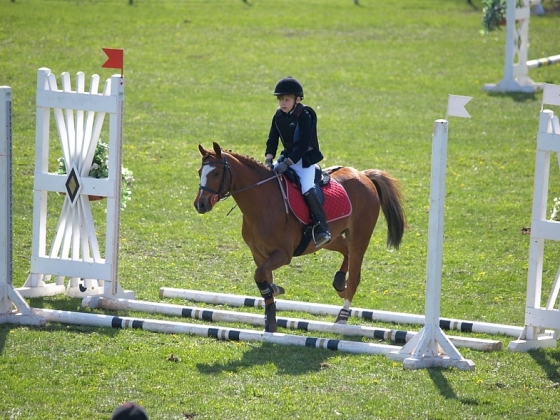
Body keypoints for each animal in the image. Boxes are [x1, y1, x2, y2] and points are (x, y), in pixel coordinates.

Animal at [195, 143, 404, 334]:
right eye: (199, 172)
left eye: (216, 173)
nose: (200, 204)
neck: (262, 204)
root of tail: (363, 175)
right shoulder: (259, 254)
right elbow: (263, 279)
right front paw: (270, 318)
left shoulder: (283, 254)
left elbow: (260, 275)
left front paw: (274, 293)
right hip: (331, 238)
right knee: (346, 253)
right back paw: (338, 282)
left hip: (360, 235)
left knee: (354, 276)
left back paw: (342, 316)